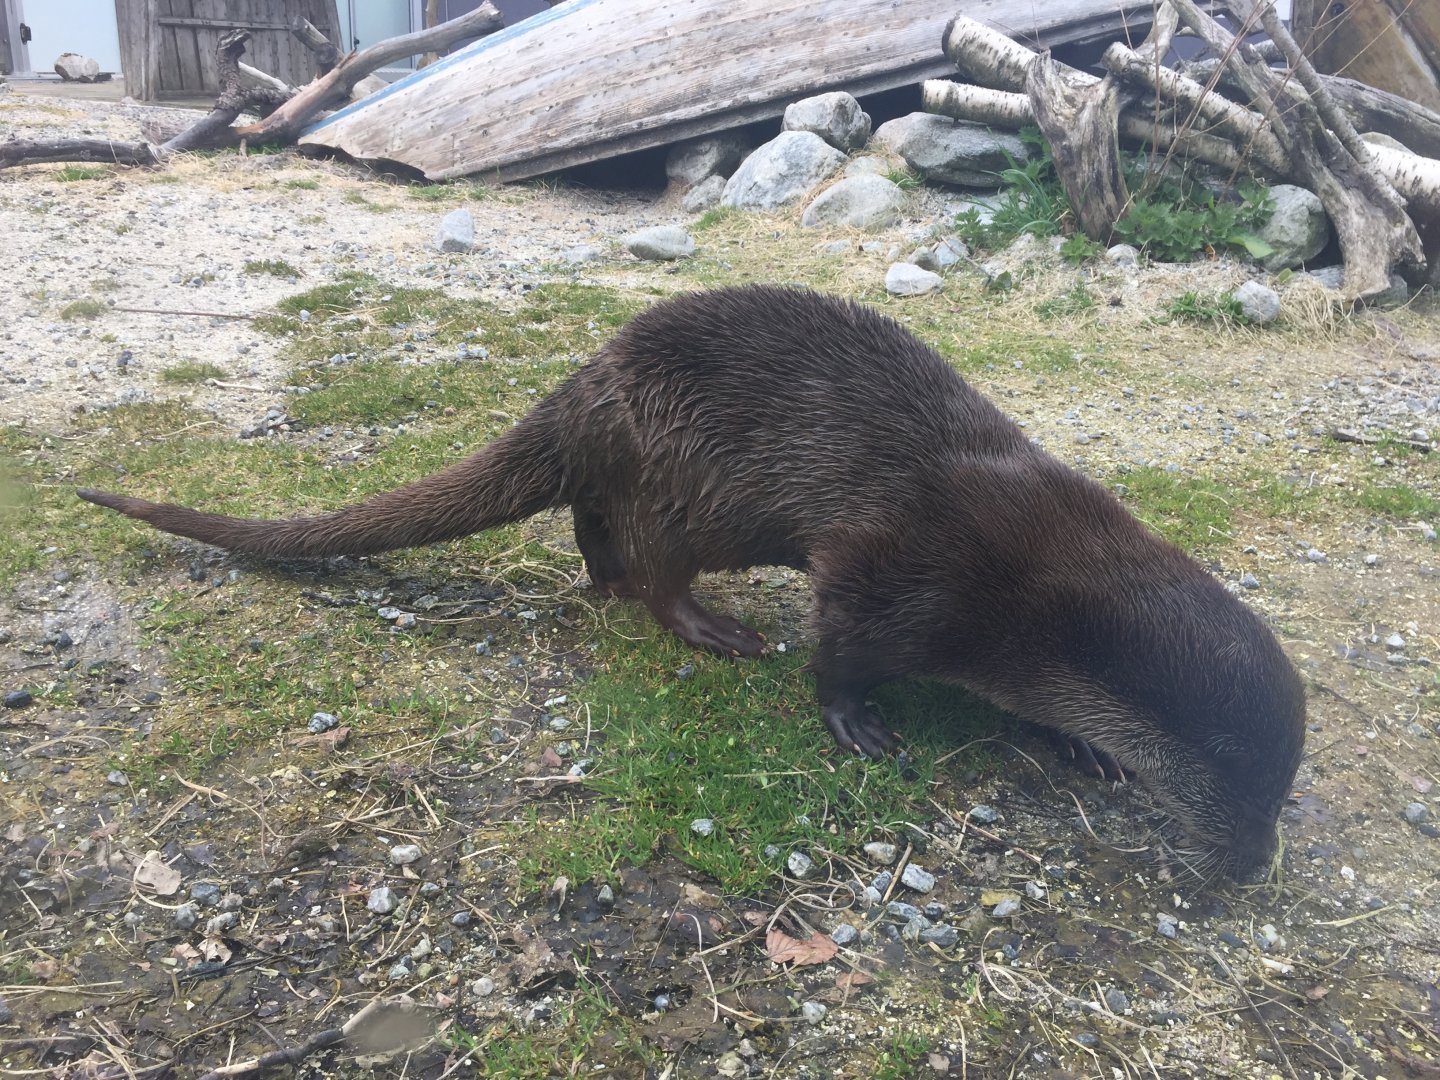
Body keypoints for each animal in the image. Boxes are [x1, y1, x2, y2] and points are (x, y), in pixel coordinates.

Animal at [78, 285, 1305, 879]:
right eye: (1233, 776)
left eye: (1280, 787)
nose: (1253, 868)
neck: (1042, 595)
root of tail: (588, 381)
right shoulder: (905, 570)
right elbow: (840, 650)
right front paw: (859, 726)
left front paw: (1083, 749)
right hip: (695, 485)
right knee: (656, 566)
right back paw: (709, 628)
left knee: (590, 519)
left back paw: (600, 576)